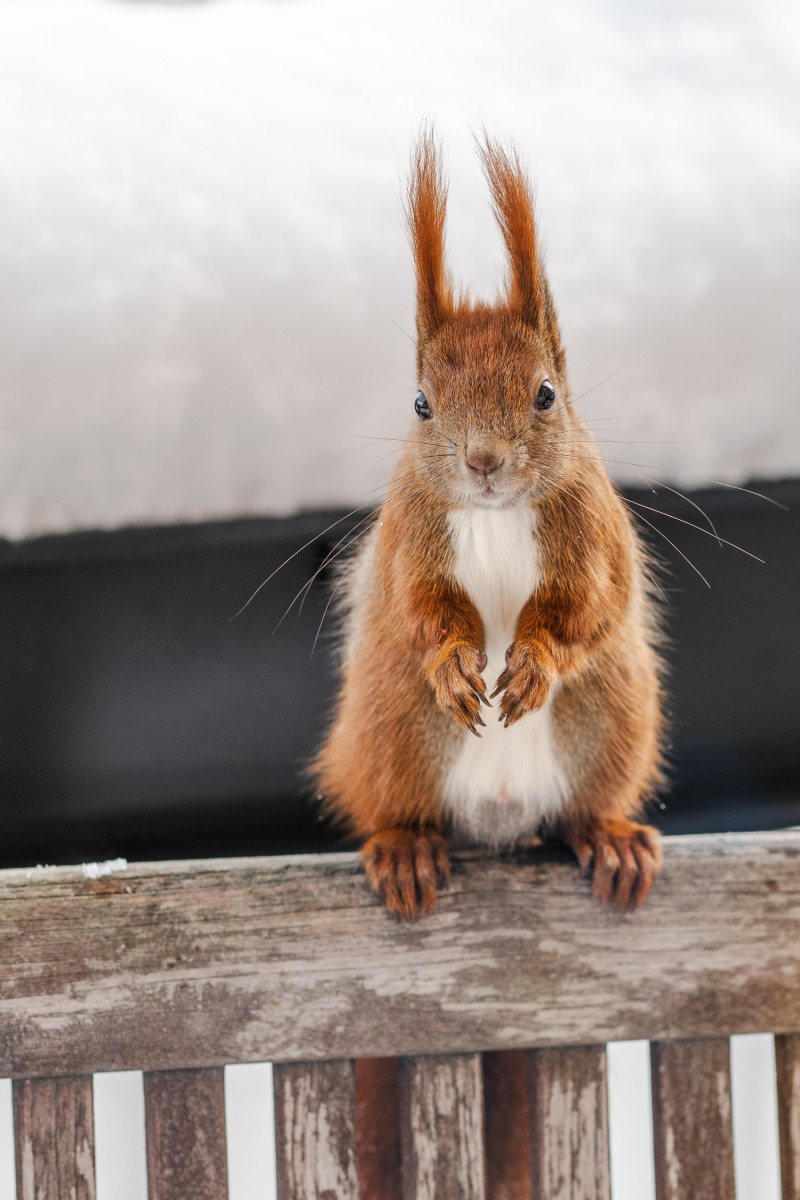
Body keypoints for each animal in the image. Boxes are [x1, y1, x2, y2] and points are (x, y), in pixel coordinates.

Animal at [311, 131, 662, 916]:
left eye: (546, 394)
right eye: (420, 404)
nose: (483, 462)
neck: (495, 515)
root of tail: (498, 821)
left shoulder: (593, 536)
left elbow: (584, 610)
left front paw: (533, 661)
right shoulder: (409, 541)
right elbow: (420, 609)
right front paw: (450, 661)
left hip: (610, 727)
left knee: (581, 812)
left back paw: (612, 841)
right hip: (392, 736)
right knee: (396, 808)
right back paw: (406, 849)